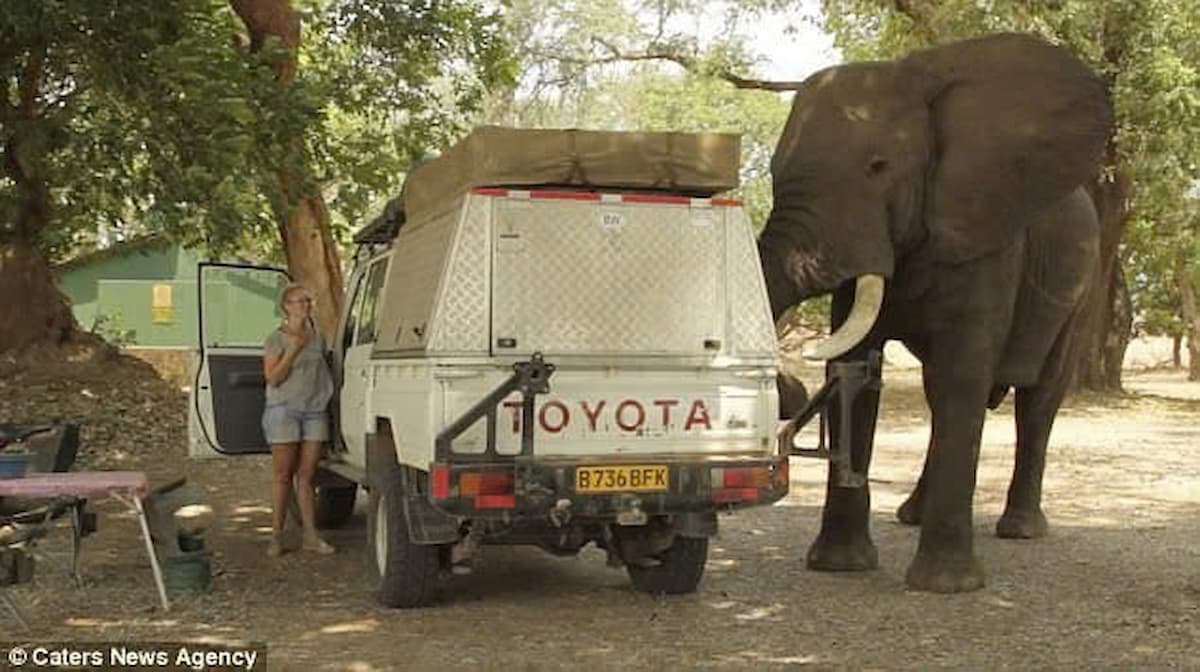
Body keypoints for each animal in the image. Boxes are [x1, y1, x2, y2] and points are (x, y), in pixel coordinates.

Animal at [763, 32, 1108, 592]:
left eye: (878, 167)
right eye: (772, 173)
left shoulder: (985, 232)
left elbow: (961, 374)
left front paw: (945, 586)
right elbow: (855, 373)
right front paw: (839, 566)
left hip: (1083, 287)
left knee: (1038, 397)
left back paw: (1020, 529)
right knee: (938, 394)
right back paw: (912, 516)